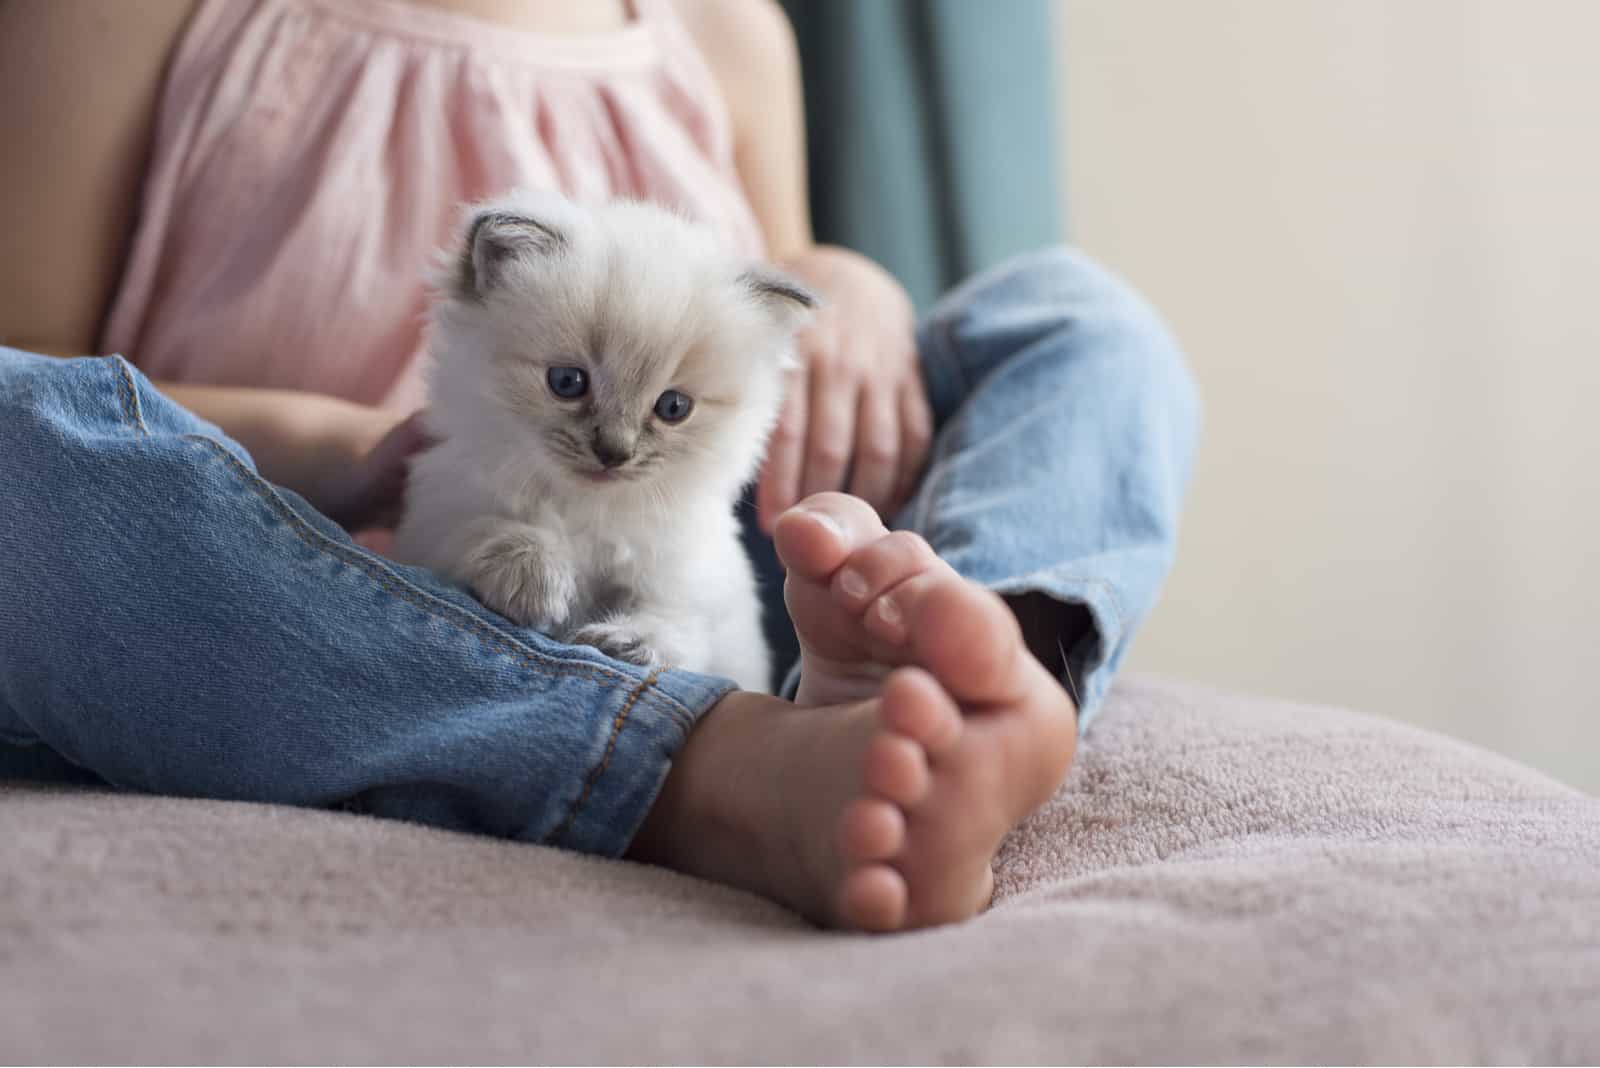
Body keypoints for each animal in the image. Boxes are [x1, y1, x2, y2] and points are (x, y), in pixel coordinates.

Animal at [388, 191, 812, 693]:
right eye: (567, 382)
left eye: (673, 407)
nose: (614, 452)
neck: (590, 512)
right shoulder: (436, 520)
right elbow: (494, 528)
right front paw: (537, 585)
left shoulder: (690, 587)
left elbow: (675, 626)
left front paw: (624, 643)